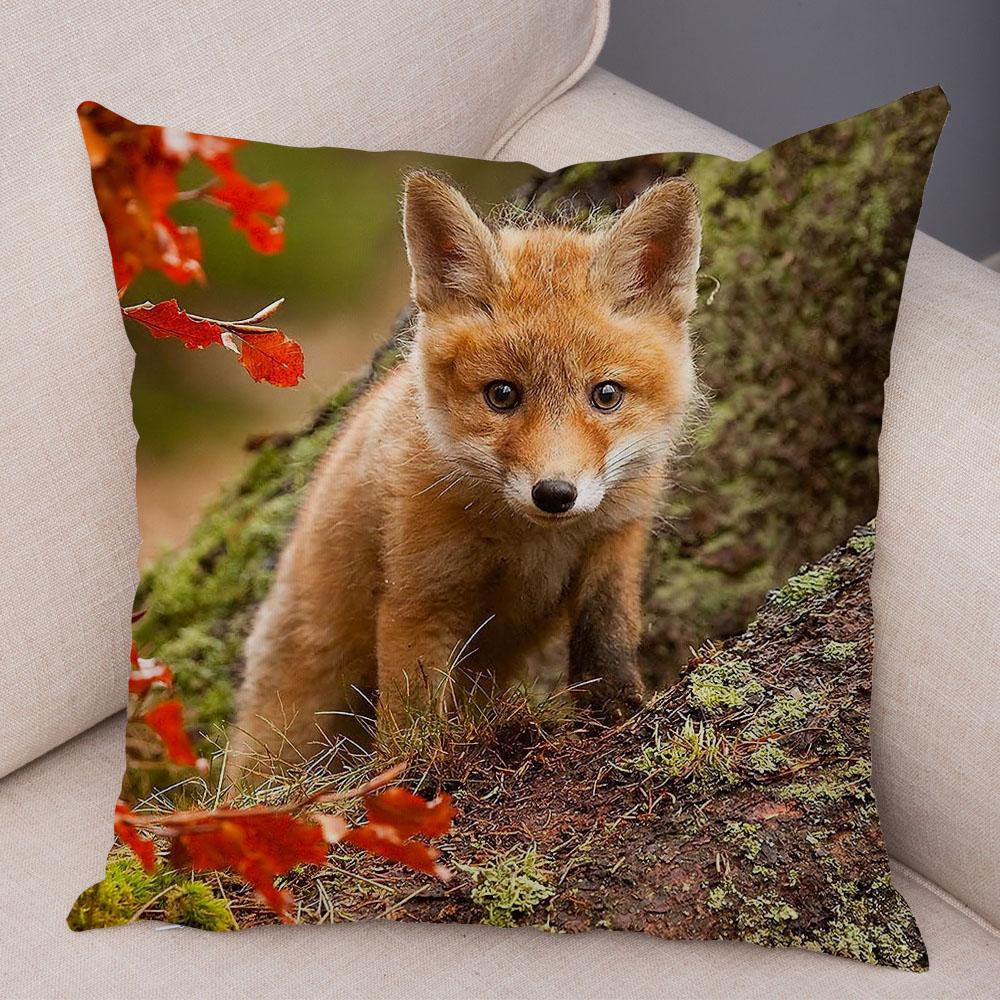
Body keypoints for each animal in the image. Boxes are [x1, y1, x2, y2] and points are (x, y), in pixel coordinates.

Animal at [230, 170, 701, 774]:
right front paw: (411, 769)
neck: (531, 543)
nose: (555, 494)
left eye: (607, 395)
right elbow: (410, 711)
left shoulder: (615, 544)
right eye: (502, 395)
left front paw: (618, 712)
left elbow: (608, 639)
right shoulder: (421, 592)